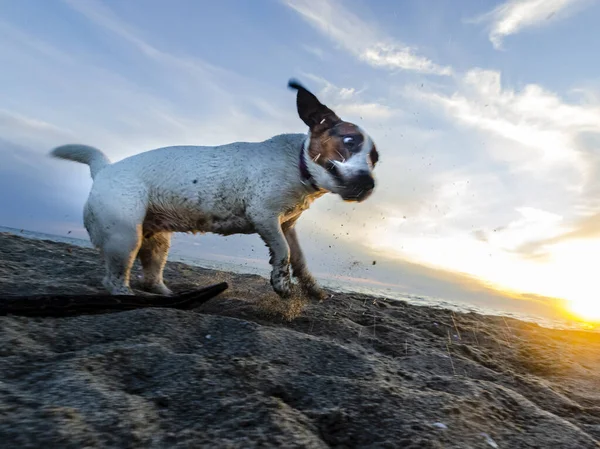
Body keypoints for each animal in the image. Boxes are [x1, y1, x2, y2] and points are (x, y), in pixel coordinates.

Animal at [51, 79, 380, 300]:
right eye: (349, 141)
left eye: (375, 158)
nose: (369, 184)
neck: (298, 166)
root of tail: (103, 170)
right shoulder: (265, 217)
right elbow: (283, 252)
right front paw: (281, 283)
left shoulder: (287, 224)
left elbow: (298, 257)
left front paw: (311, 287)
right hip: (124, 237)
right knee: (114, 280)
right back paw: (126, 296)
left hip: (156, 242)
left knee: (152, 276)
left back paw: (167, 296)